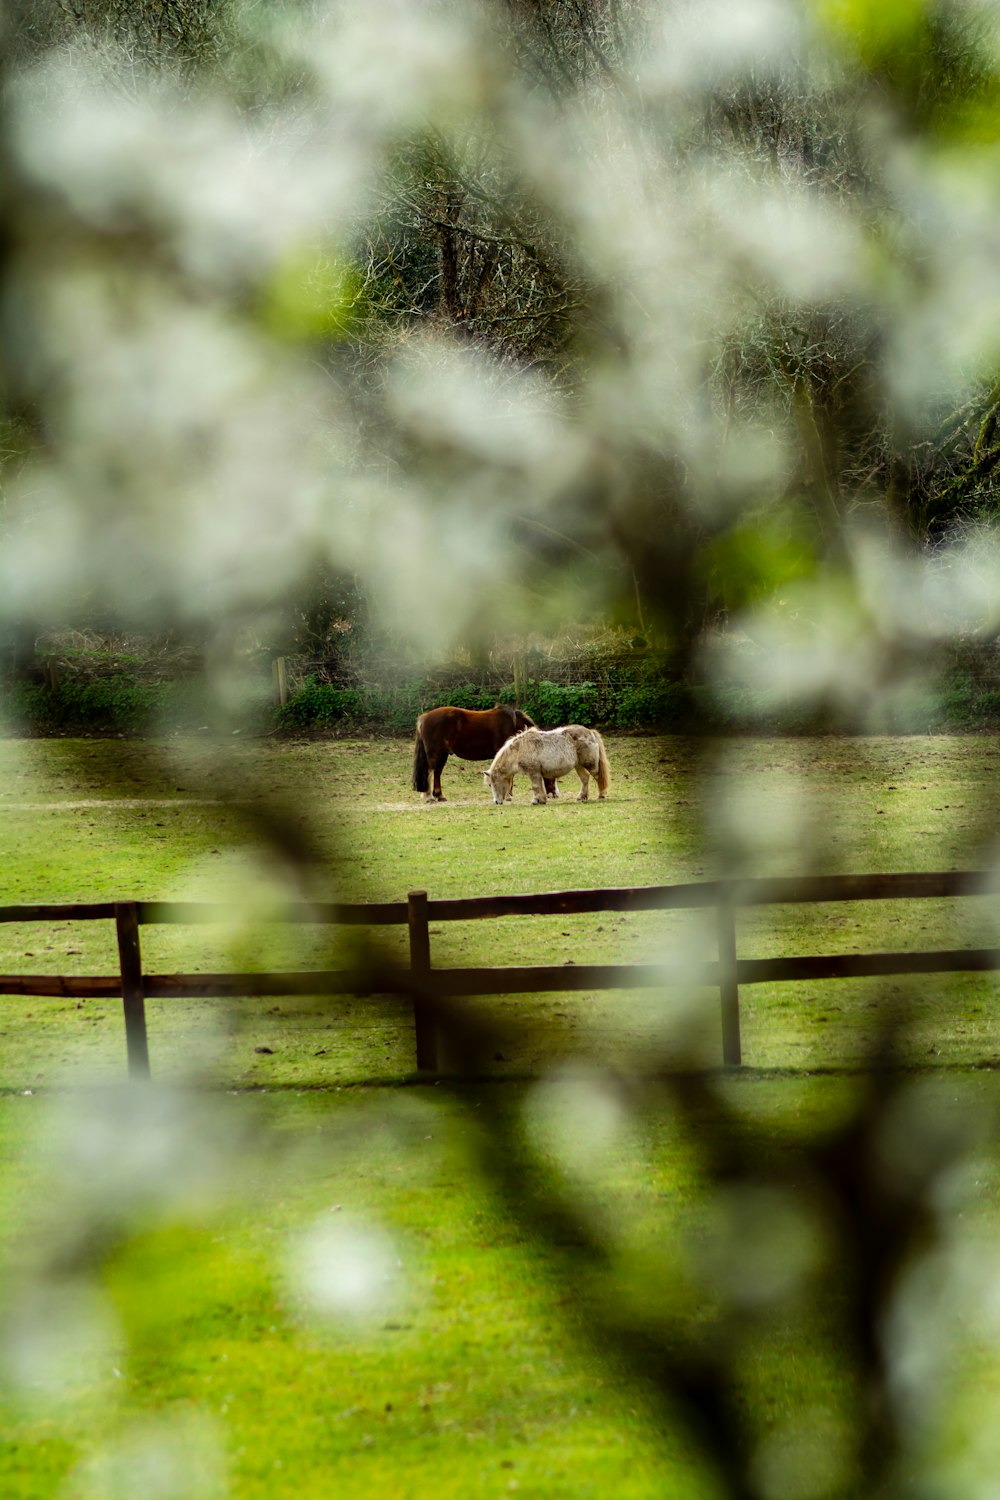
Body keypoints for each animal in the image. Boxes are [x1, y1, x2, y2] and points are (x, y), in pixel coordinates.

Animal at [410, 705, 560, 804]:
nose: (556, 794)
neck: (513, 726)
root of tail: (424, 717)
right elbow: (509, 776)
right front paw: (508, 796)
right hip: (435, 754)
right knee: (429, 772)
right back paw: (429, 797)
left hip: (443, 755)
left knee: (437, 774)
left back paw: (439, 796)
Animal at [482, 726, 611, 810]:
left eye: (491, 784)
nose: (496, 802)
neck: (519, 749)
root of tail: (590, 732)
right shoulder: (537, 773)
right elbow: (539, 786)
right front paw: (541, 800)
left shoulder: (533, 772)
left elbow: (535, 786)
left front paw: (536, 801)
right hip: (578, 765)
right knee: (585, 778)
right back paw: (581, 797)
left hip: (590, 765)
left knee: (598, 777)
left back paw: (602, 795)